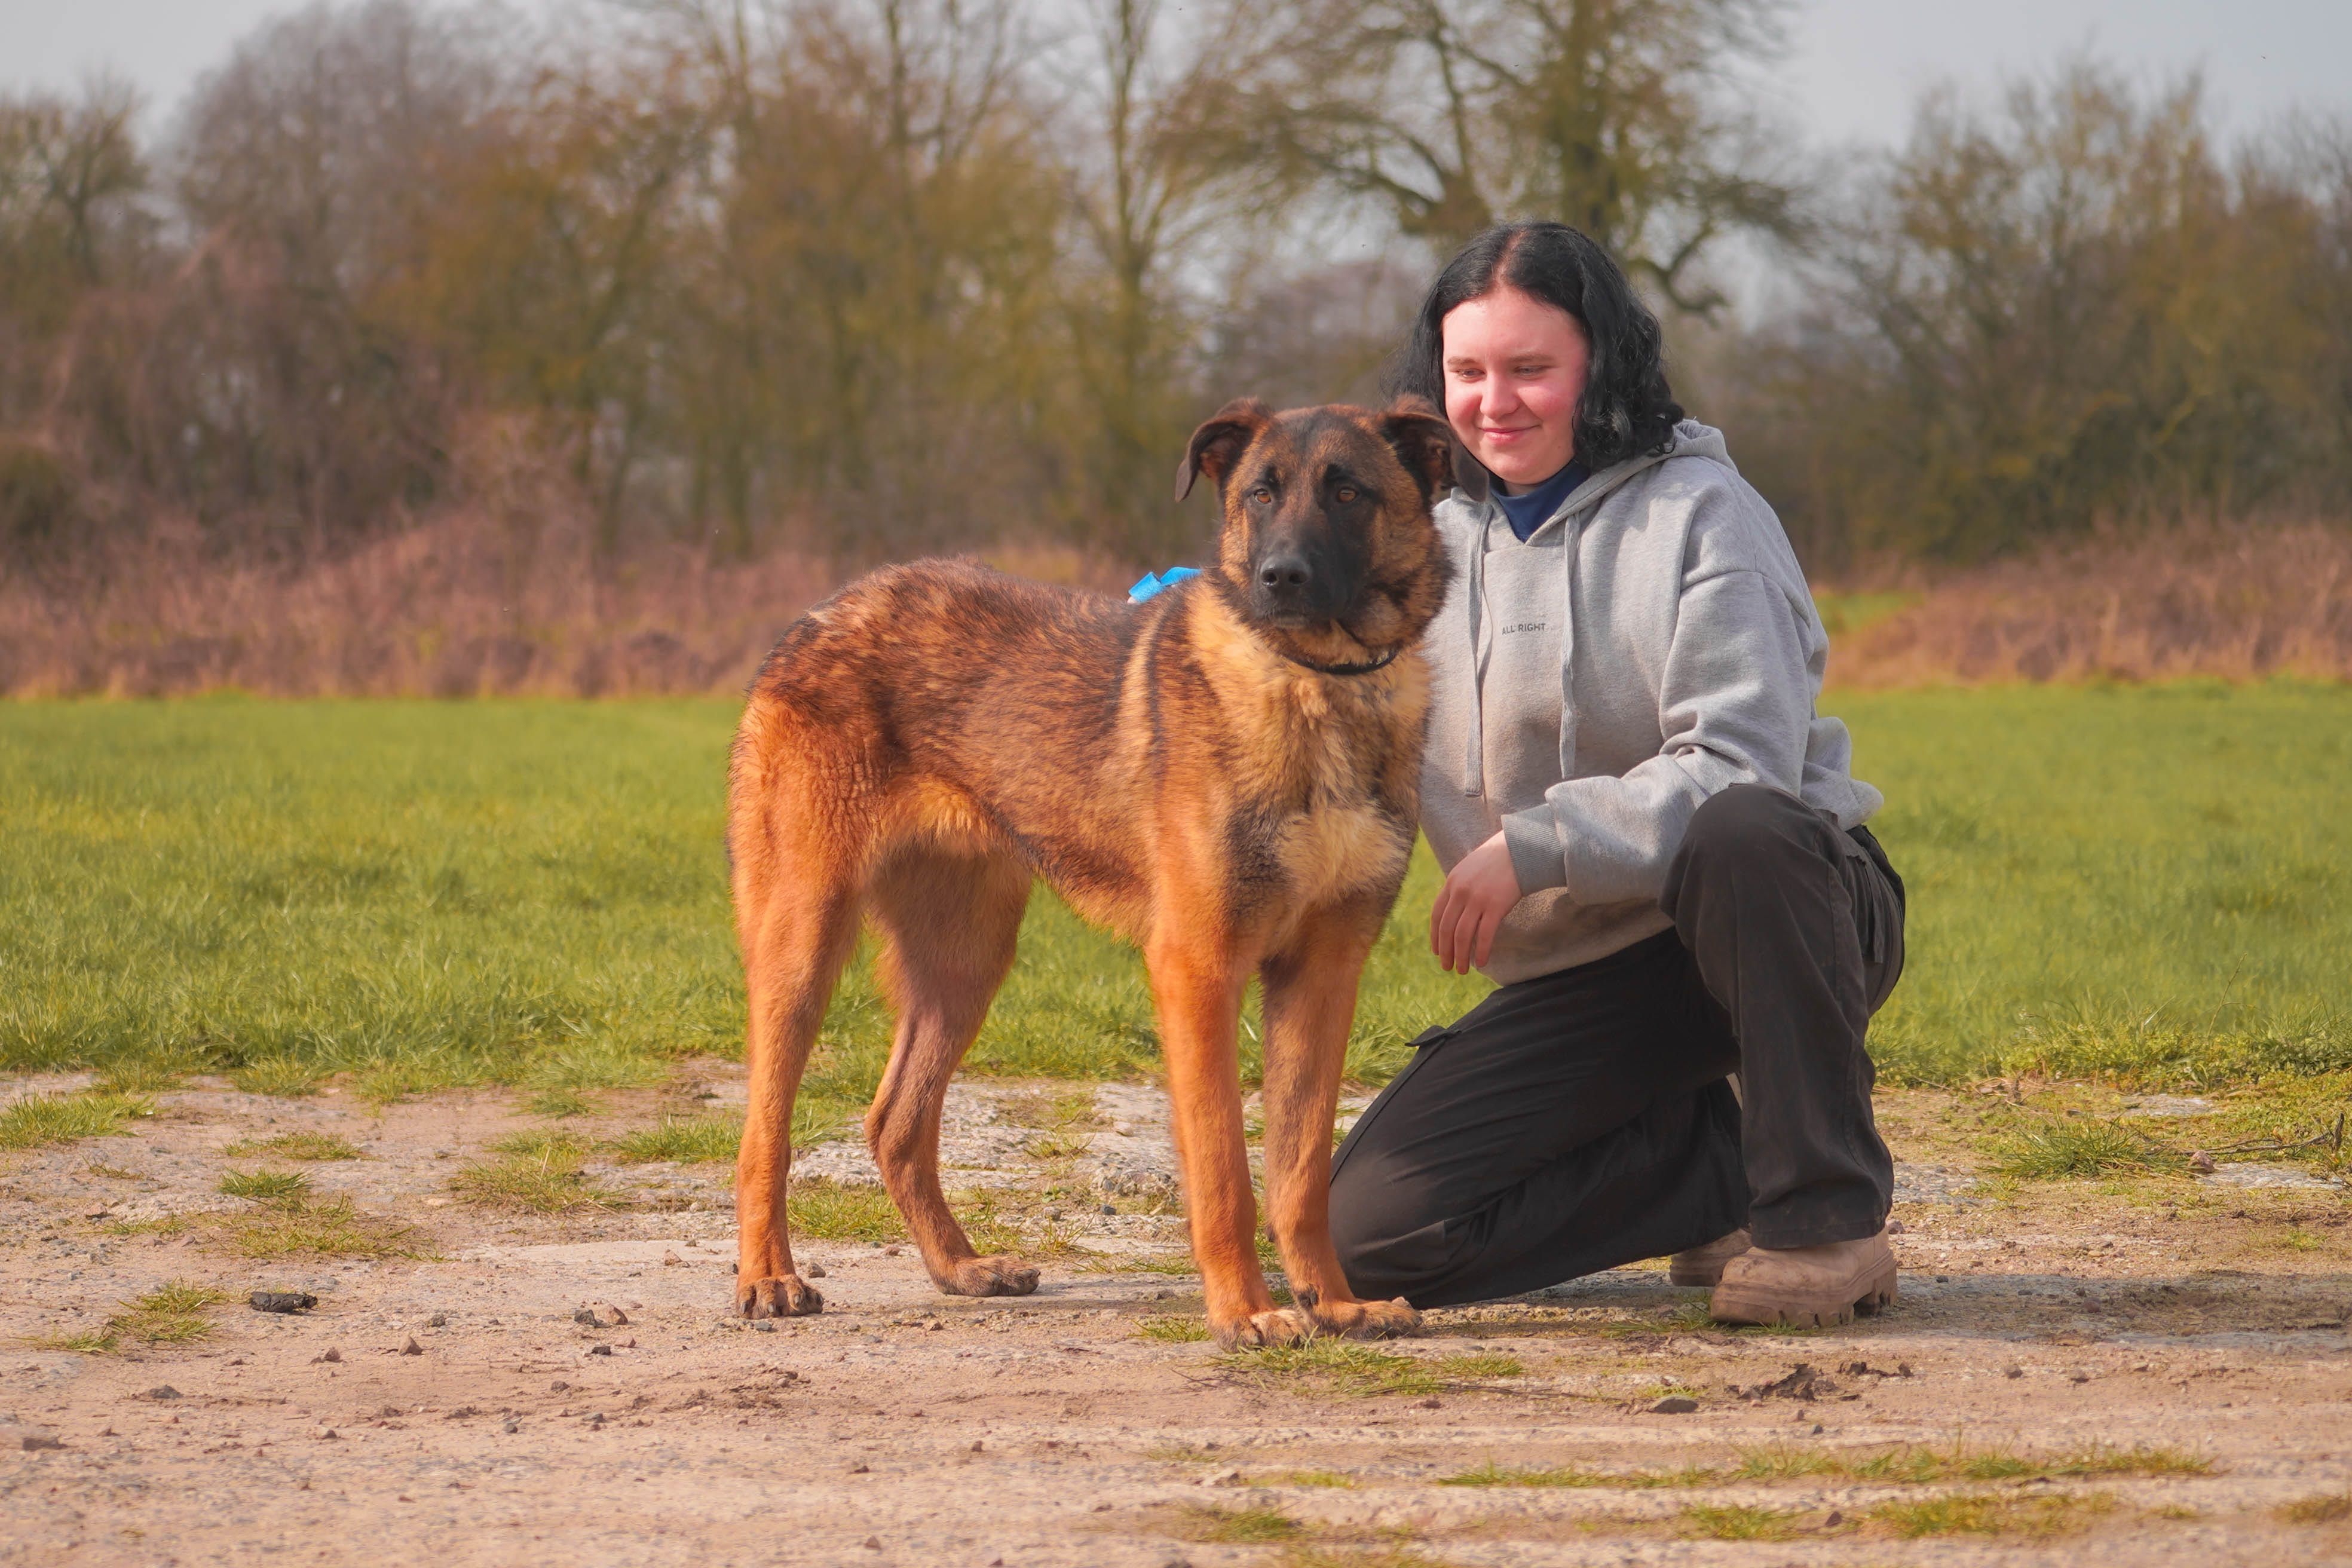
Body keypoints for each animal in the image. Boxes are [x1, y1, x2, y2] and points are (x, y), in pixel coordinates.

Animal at [724, 394, 1477, 1354]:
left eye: (1348, 492)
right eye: (1261, 493)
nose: (1280, 578)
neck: (1315, 684)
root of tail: (821, 612)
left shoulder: (1324, 975)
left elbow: (1302, 1172)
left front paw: (1335, 1302)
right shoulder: (1198, 972)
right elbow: (1225, 1171)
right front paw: (1246, 1311)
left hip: (964, 965)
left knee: (896, 1121)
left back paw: (961, 1267)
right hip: (803, 944)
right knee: (763, 1132)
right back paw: (768, 1276)